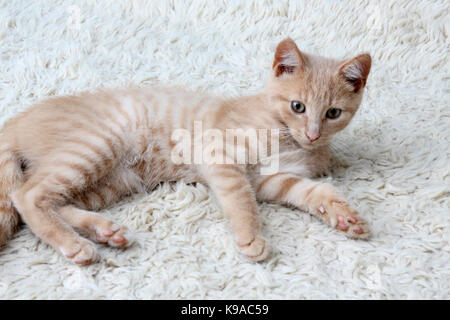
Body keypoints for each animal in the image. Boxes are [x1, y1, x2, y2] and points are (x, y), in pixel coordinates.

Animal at [0, 37, 370, 264]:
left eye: (333, 113)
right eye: (297, 106)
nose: (312, 134)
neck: (286, 136)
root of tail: (15, 121)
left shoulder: (273, 179)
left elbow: (313, 192)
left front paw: (346, 217)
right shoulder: (220, 154)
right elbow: (241, 199)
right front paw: (251, 237)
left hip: (113, 180)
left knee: (56, 202)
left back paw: (105, 231)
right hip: (96, 145)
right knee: (28, 196)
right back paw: (74, 244)